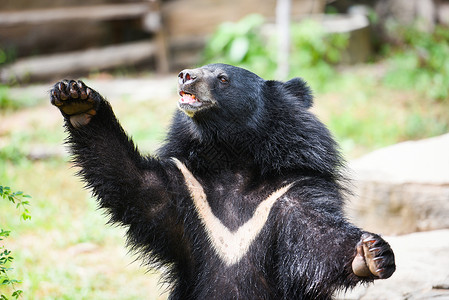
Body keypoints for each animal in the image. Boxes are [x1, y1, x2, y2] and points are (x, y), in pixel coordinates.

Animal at [50, 63, 392, 300]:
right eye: (198, 69)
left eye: (223, 78)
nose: (185, 75)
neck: (233, 159)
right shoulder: (185, 188)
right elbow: (133, 182)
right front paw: (76, 99)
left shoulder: (291, 192)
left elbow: (317, 236)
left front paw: (372, 254)